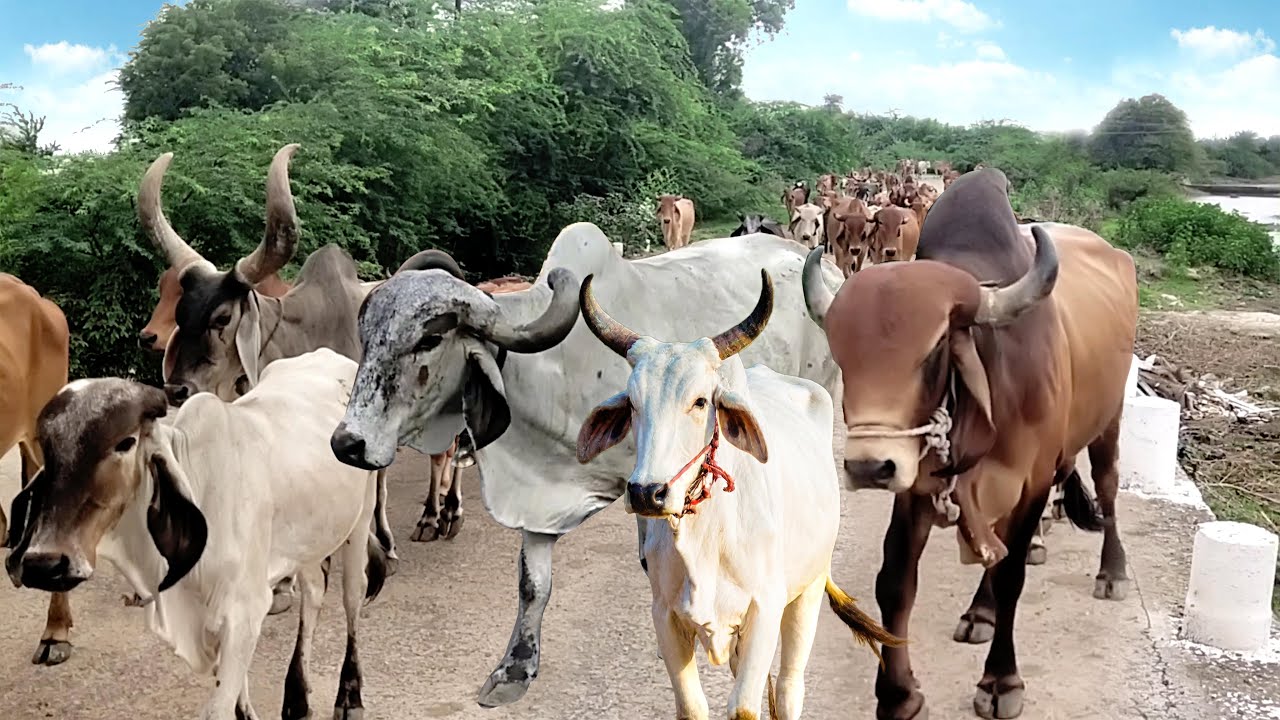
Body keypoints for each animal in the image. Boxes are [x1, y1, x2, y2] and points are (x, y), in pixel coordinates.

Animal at [7, 348, 386, 720]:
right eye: (48, 447)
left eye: (126, 442)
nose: (45, 564)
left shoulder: (245, 610)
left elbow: (219, 707)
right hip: (311, 536)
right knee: (314, 592)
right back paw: (297, 698)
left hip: (361, 517)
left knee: (353, 594)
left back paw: (349, 696)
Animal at [328, 223, 844, 708]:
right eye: (366, 337)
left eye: (430, 338)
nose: (348, 443)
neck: (555, 368)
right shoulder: (541, 495)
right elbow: (533, 584)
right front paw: (515, 669)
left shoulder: (650, 490)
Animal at [574, 270, 902, 720]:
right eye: (634, 405)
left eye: (700, 401)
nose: (646, 493)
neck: (704, 537)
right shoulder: (665, 617)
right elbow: (693, 707)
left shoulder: (764, 610)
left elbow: (745, 708)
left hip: (809, 588)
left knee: (789, 686)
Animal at [799, 167, 1137, 719]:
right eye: (842, 353)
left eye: (935, 348)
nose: (869, 468)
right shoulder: (919, 484)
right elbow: (895, 581)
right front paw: (899, 693)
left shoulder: (1033, 481)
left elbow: (1012, 574)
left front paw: (1001, 681)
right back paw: (980, 612)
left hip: (1108, 420)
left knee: (1106, 490)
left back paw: (1112, 572)